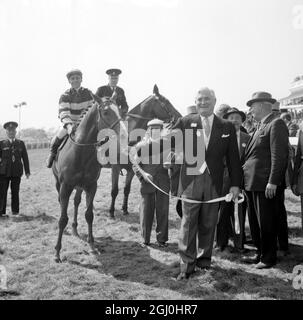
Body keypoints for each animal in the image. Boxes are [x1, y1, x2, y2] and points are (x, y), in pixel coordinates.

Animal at [52, 98, 128, 262]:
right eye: (106, 112)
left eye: (119, 110)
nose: (123, 135)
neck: (81, 152)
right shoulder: (65, 186)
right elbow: (62, 218)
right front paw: (57, 252)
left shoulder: (91, 186)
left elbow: (89, 215)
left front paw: (92, 245)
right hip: (58, 183)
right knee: (62, 203)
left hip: (80, 187)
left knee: (76, 202)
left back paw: (75, 228)